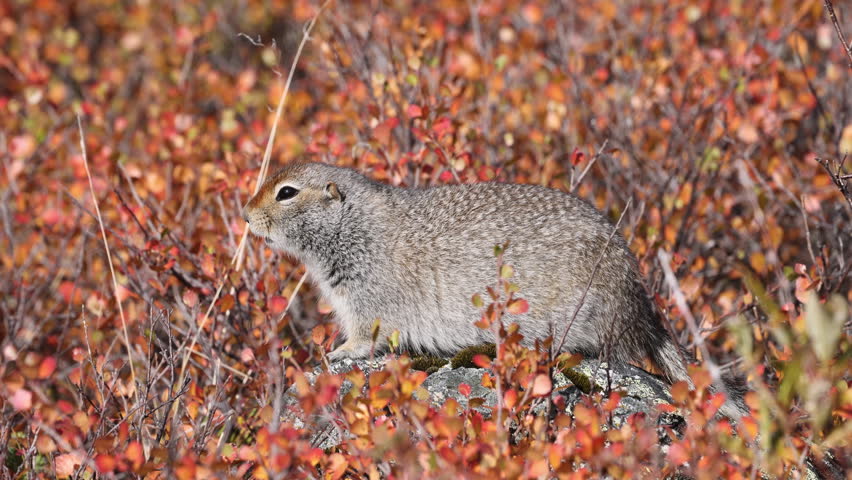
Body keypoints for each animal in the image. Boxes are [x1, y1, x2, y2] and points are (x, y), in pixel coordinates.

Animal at [243, 162, 745, 417]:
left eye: (286, 192)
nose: (246, 215)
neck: (352, 226)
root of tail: (640, 304)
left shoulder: (367, 299)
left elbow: (366, 338)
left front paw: (341, 352)